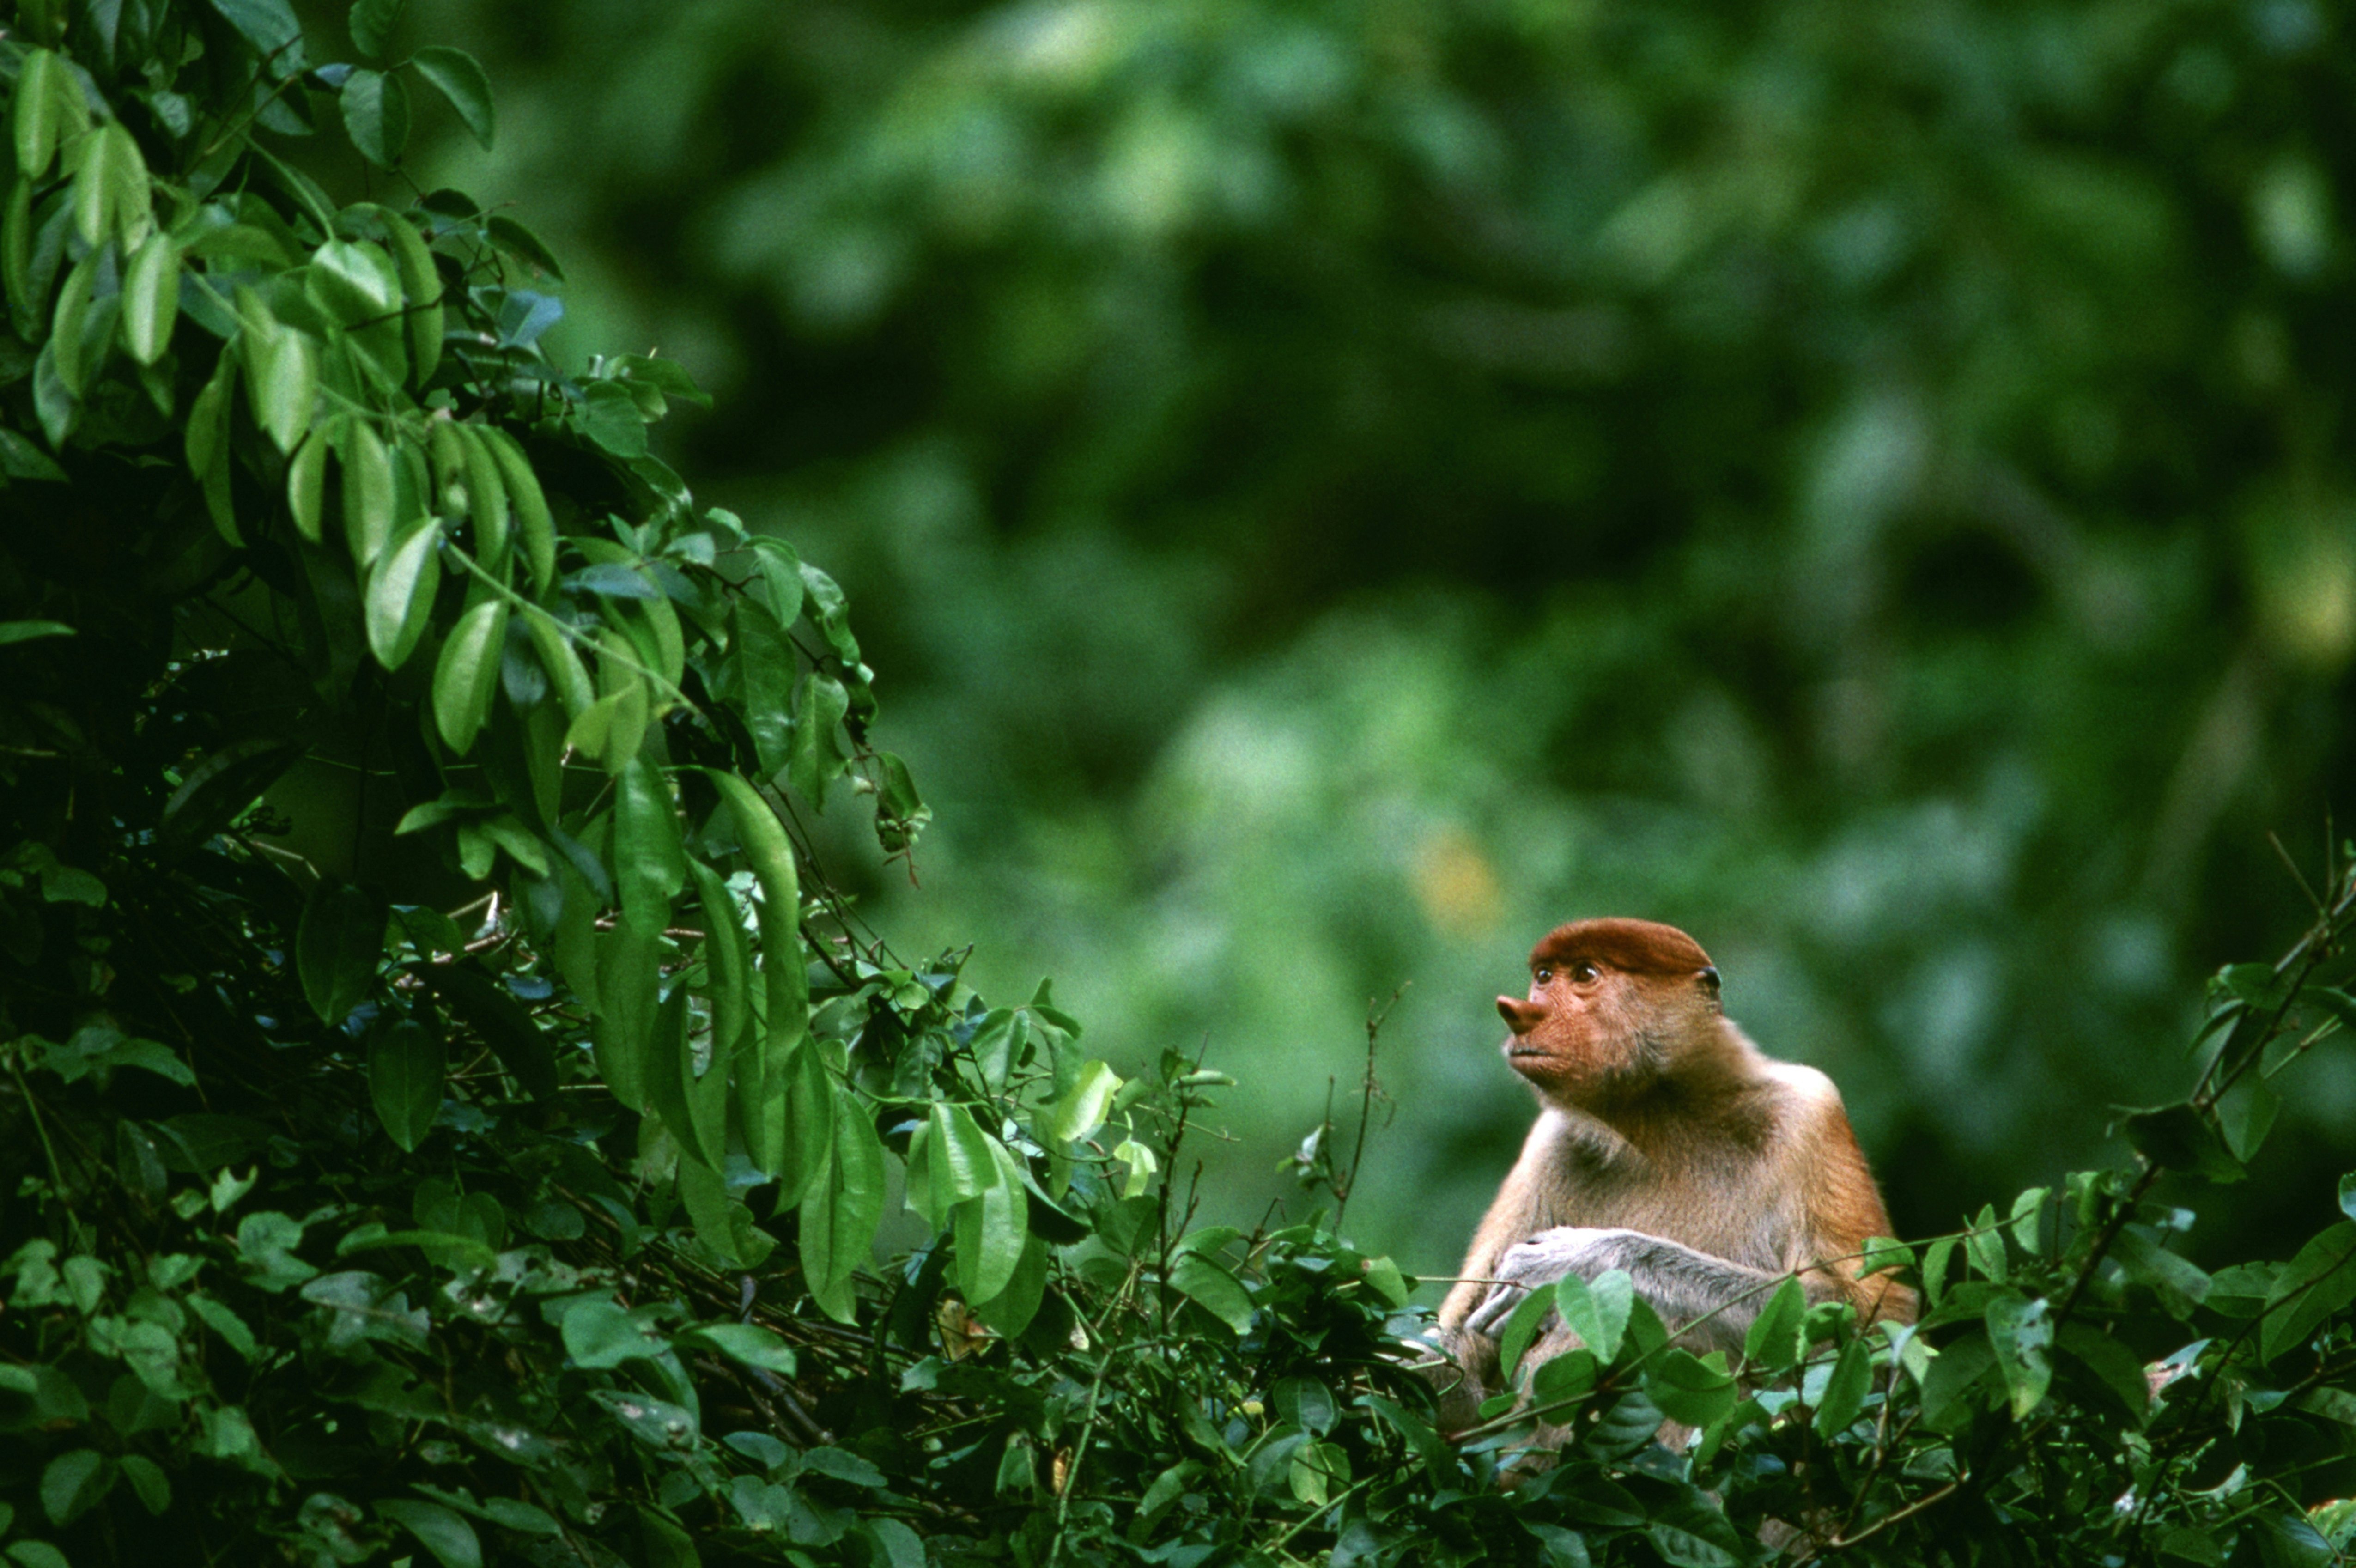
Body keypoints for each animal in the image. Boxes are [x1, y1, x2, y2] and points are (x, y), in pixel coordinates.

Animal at [1429, 917, 1914, 1435]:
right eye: (1543, 977)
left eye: (1585, 973)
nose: (1521, 1014)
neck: (1659, 1118)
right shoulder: (1550, 1143)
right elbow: (1461, 1370)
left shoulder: (1810, 1111)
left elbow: (1873, 1318)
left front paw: (1579, 1260)